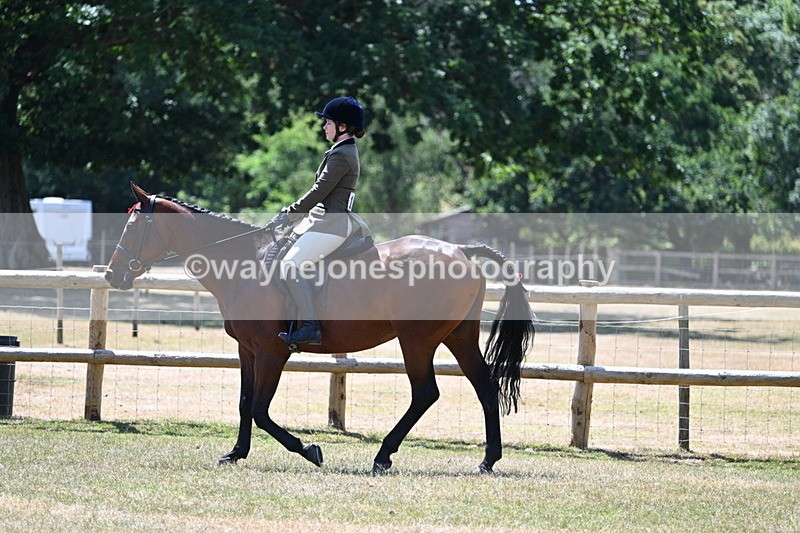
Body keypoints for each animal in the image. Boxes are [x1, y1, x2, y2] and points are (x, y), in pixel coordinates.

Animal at [105, 183, 535, 474]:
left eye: (132, 227)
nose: (112, 275)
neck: (244, 262)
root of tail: (461, 250)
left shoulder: (272, 351)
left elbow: (260, 409)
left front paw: (309, 450)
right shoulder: (248, 349)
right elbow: (245, 404)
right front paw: (235, 453)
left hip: (417, 340)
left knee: (425, 392)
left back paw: (383, 456)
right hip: (458, 336)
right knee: (484, 385)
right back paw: (488, 460)